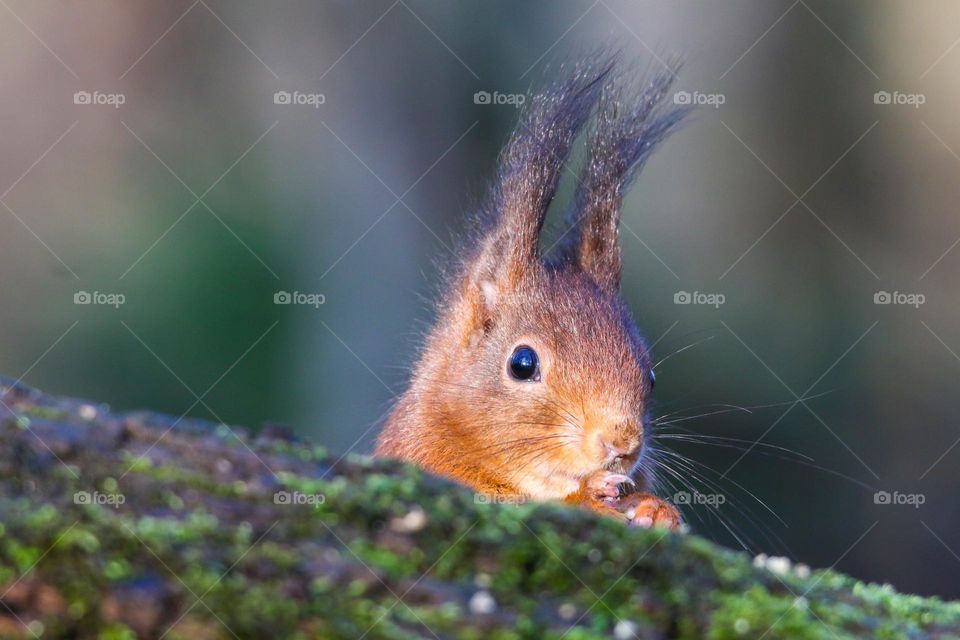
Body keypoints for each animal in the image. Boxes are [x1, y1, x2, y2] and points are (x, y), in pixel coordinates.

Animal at [376, 57, 688, 528]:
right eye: (522, 364)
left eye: (650, 376)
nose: (623, 445)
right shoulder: (426, 459)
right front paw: (588, 496)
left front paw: (655, 508)